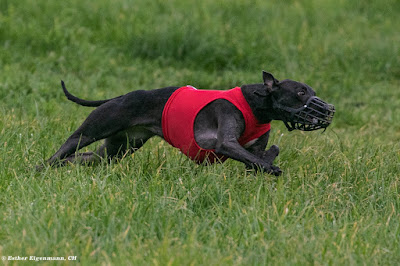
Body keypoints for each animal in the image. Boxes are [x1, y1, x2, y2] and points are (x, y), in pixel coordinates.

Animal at [42, 70, 334, 176]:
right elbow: (245, 153)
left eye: (310, 90)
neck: (256, 104)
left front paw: (266, 164)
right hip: (95, 128)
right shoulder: (225, 141)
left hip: (117, 149)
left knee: (85, 157)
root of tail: (120, 96)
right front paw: (271, 168)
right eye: (300, 92)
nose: (329, 110)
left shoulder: (255, 146)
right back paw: (39, 169)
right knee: (65, 148)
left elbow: (264, 154)